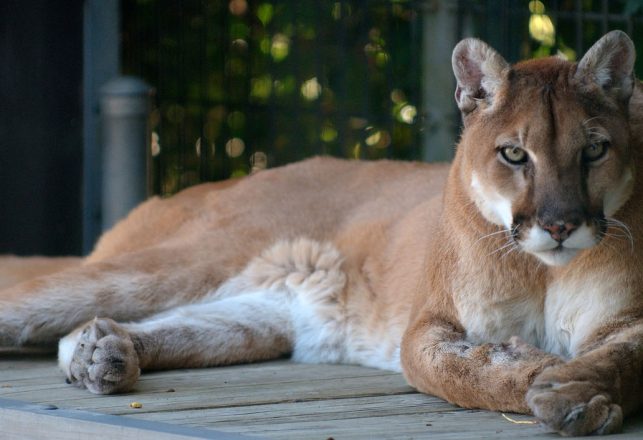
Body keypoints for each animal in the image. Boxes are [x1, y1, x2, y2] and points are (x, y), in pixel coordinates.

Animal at [1, 31, 643, 436]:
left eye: (593, 151)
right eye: (514, 154)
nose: (559, 225)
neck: (541, 268)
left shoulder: (625, 318)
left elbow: (621, 356)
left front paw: (574, 387)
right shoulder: (430, 326)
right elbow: (466, 372)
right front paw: (547, 377)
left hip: (260, 317)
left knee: (106, 333)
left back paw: (102, 354)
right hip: (175, 265)